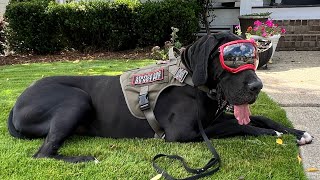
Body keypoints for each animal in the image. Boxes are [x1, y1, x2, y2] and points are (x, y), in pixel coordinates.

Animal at [7, 32, 312, 163]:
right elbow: (240, 124)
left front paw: (298, 132)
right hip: (76, 100)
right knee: (42, 153)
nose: (258, 86)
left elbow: (259, 117)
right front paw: (276, 134)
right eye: (231, 59)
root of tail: (15, 104)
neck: (191, 81)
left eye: (252, 56)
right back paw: (84, 159)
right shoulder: (182, 132)